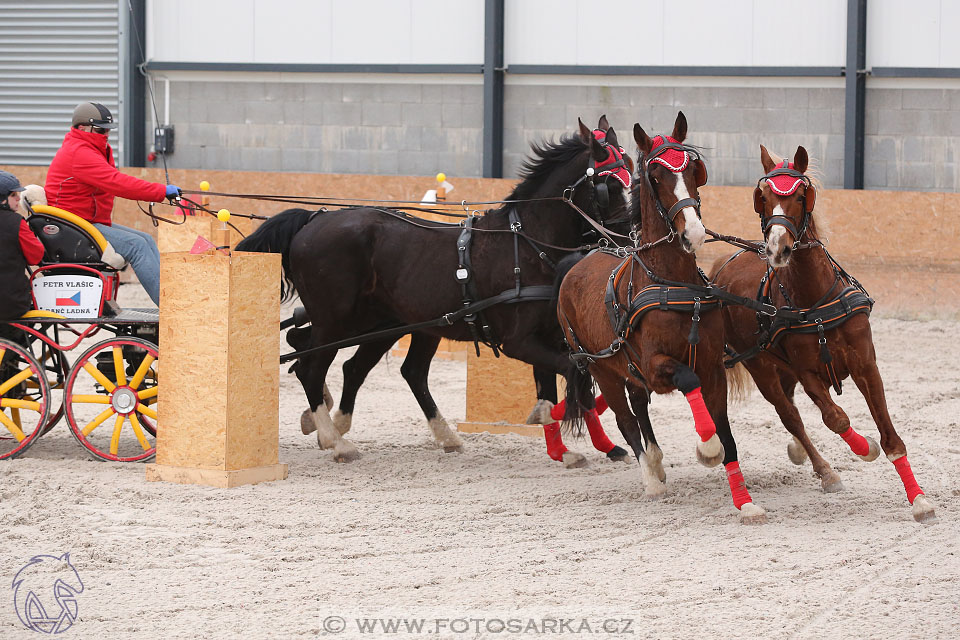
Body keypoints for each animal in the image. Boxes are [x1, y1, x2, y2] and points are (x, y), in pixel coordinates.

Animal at [239, 119, 632, 460]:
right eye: (609, 186)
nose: (630, 238)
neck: (527, 244)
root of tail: (314, 218)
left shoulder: (548, 339)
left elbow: (562, 386)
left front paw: (571, 449)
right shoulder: (519, 342)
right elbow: (576, 381)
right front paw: (580, 440)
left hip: (384, 324)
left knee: (364, 365)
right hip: (338, 321)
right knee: (312, 366)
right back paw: (337, 441)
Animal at [556, 112, 764, 524]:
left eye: (695, 170)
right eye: (654, 174)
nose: (694, 232)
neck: (671, 284)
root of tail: (583, 259)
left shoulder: (712, 367)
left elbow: (728, 436)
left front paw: (745, 501)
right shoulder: (656, 367)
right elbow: (688, 381)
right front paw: (707, 448)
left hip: (625, 367)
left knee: (638, 407)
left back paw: (655, 462)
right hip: (602, 368)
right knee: (625, 420)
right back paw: (650, 479)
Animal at [712, 145, 936, 524]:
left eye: (801, 195)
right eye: (763, 196)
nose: (777, 249)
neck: (816, 299)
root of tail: (725, 263)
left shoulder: (866, 366)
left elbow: (891, 437)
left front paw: (919, 500)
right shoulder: (807, 372)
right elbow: (835, 417)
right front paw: (864, 448)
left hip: (781, 367)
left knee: (791, 409)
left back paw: (803, 454)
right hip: (761, 365)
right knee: (789, 414)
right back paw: (825, 470)